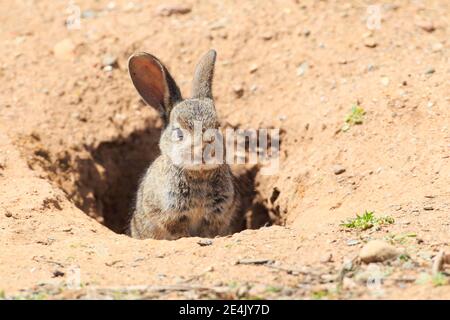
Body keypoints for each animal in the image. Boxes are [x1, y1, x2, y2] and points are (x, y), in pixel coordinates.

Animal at [125, 49, 241, 240]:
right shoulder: (172, 216)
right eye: (179, 133)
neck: (199, 174)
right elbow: (180, 232)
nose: (205, 151)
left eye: (217, 127)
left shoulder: (217, 215)